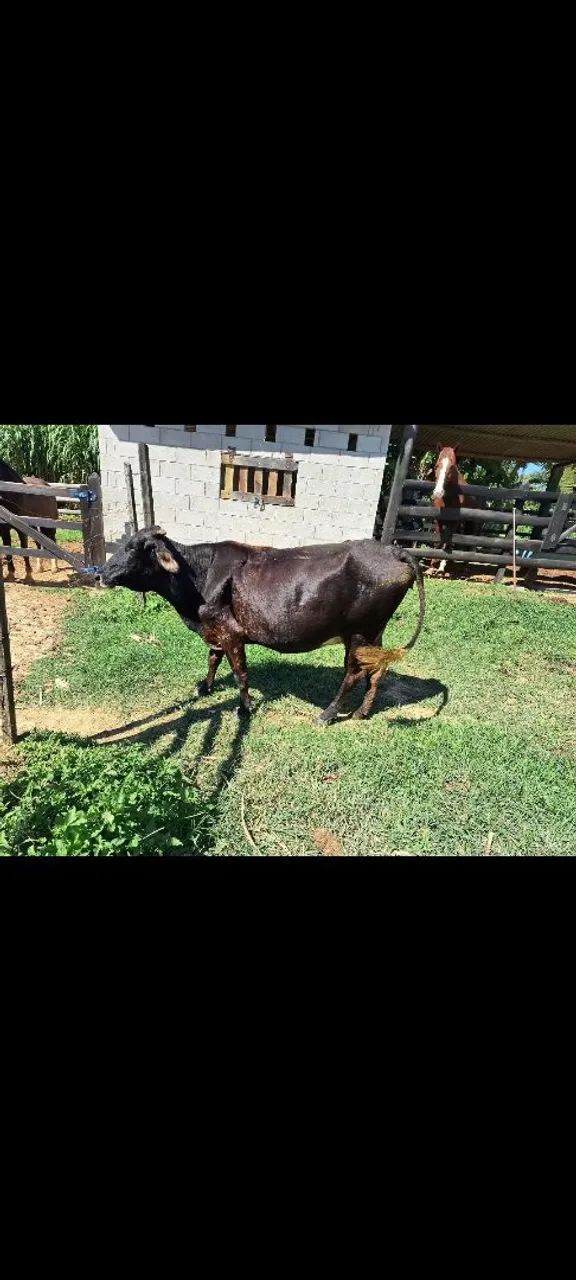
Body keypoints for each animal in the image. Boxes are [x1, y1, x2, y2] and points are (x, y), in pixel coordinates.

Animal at [98, 528, 426, 724]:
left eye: (134, 549)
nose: (100, 572)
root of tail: (392, 550)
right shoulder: (216, 630)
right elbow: (213, 659)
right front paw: (205, 687)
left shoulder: (232, 632)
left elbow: (240, 673)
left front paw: (244, 708)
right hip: (374, 633)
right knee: (377, 671)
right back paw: (362, 712)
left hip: (359, 632)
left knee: (354, 673)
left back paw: (328, 714)